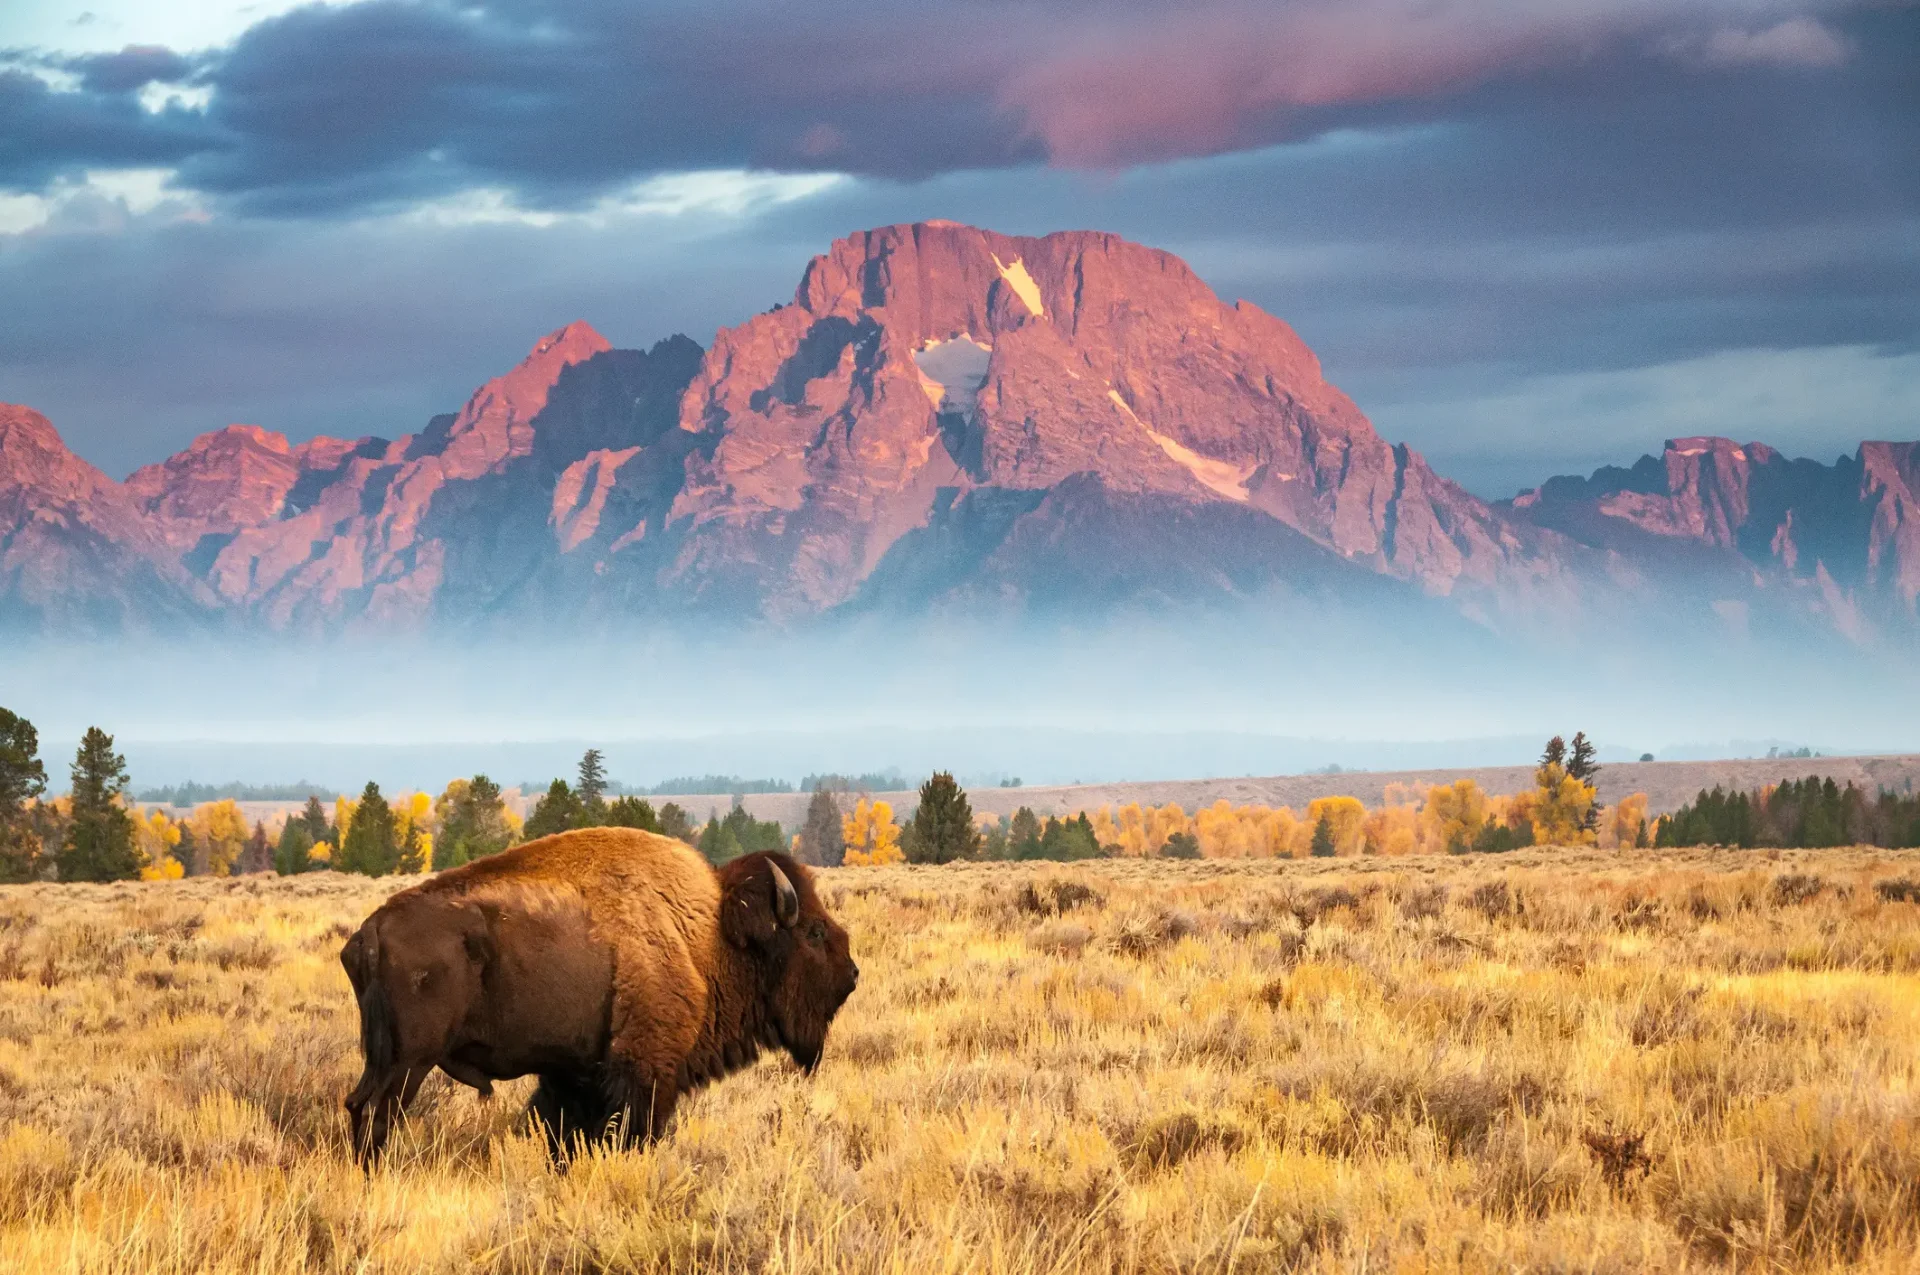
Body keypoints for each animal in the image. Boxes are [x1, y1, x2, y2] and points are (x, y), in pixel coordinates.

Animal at [339, 828, 859, 1163]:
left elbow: (563, 1133)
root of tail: (370, 932)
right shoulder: (646, 1071)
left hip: (383, 1059)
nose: (852, 974)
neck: (710, 935)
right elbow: (633, 1132)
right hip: (409, 1062)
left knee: (357, 1105)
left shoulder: (574, 1074)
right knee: (377, 1114)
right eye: (813, 933)